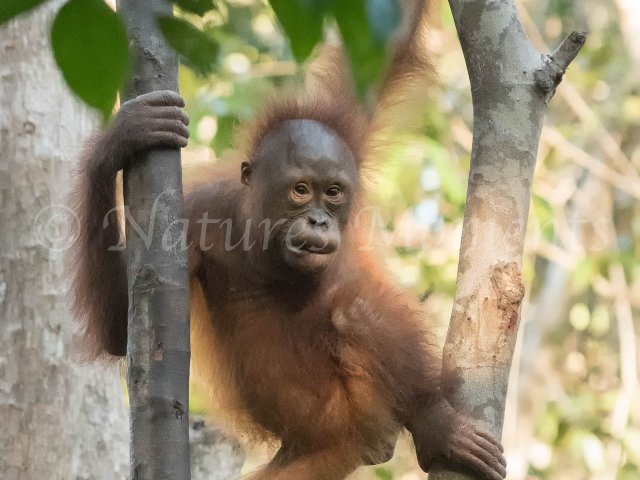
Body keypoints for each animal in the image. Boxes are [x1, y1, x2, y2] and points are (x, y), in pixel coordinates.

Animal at [68, 7, 508, 480]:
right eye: (300, 190)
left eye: (332, 192)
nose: (318, 219)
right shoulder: (191, 217)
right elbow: (123, 329)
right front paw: (121, 139)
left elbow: (392, 45)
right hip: (317, 455)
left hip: (362, 416)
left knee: (357, 311)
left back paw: (436, 427)